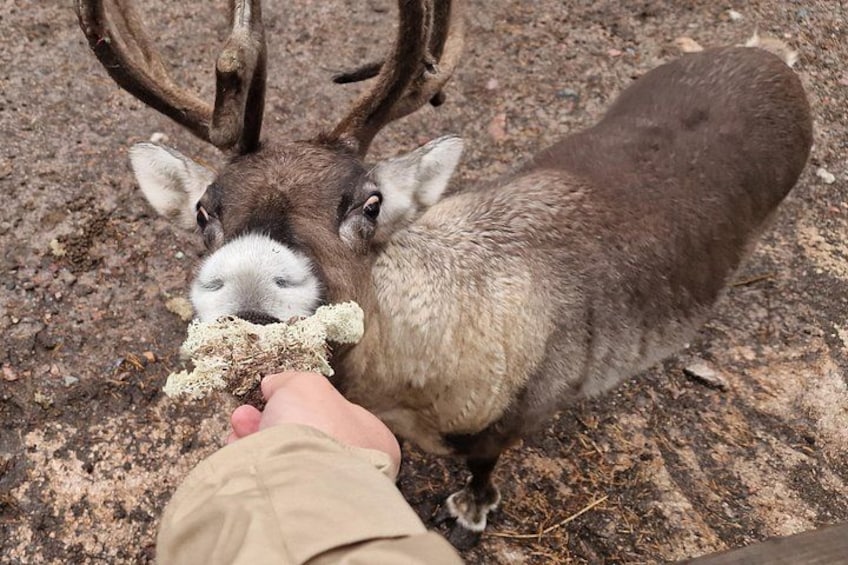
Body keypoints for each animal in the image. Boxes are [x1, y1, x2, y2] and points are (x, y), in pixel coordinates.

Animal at [77, 0, 812, 548]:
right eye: (205, 209)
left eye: (370, 202)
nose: (250, 284)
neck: (406, 387)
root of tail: (770, 57)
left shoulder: (521, 412)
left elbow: (483, 467)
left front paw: (471, 512)